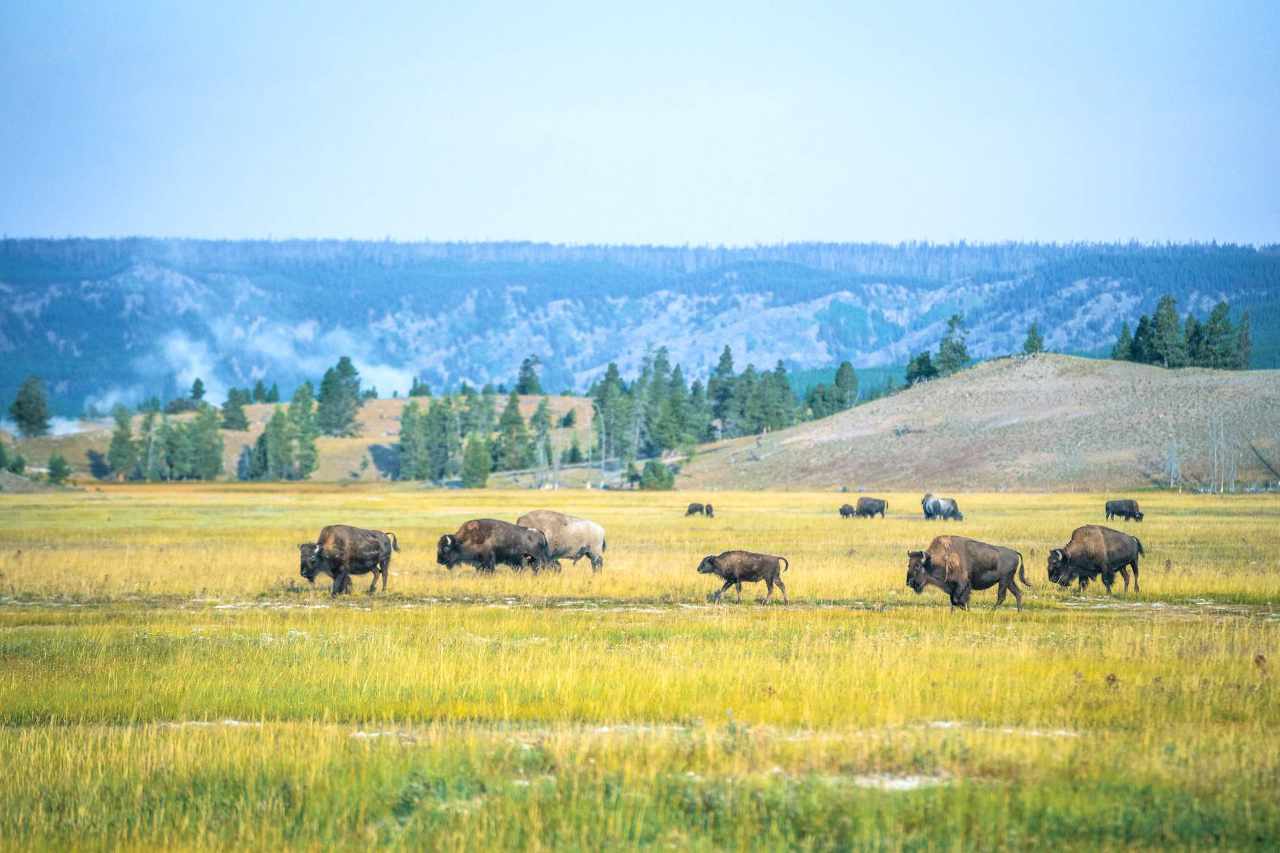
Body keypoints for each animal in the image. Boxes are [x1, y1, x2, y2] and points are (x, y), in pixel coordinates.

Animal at [901, 535, 1029, 607]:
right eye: (908, 565)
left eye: (917, 566)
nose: (909, 582)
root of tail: (1014, 552)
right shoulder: (953, 587)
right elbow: (953, 601)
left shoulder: (962, 584)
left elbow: (958, 600)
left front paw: (966, 609)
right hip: (1009, 581)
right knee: (1018, 593)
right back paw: (1018, 612)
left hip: (1004, 580)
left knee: (1002, 597)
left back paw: (992, 611)